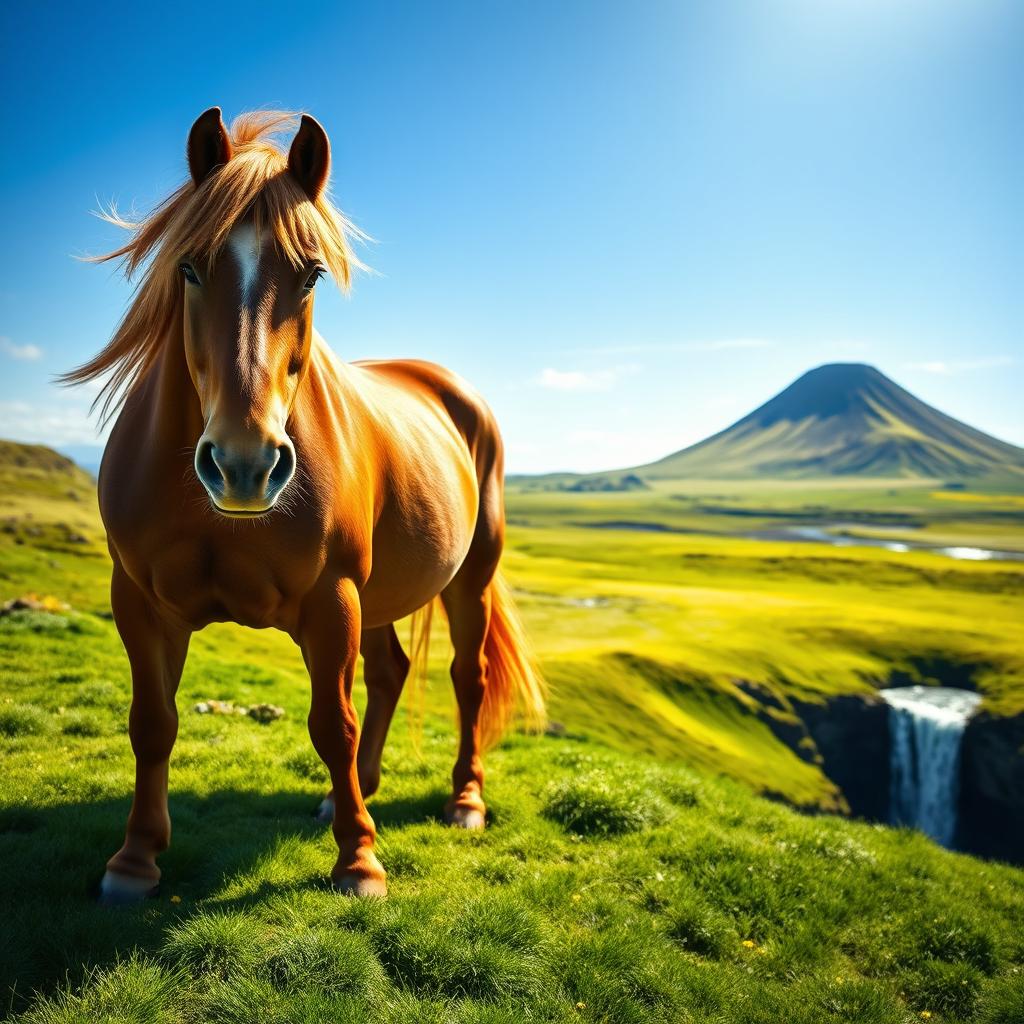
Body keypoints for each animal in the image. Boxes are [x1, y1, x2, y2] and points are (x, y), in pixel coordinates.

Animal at [61, 108, 545, 902]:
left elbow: (332, 725)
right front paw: (134, 861)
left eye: (312, 274)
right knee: (390, 673)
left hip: (465, 580)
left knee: (464, 681)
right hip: (378, 595)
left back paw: (464, 800)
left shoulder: (331, 599)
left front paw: (360, 862)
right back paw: (356, 794)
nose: (245, 464)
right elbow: (152, 722)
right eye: (189, 267)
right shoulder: (138, 599)